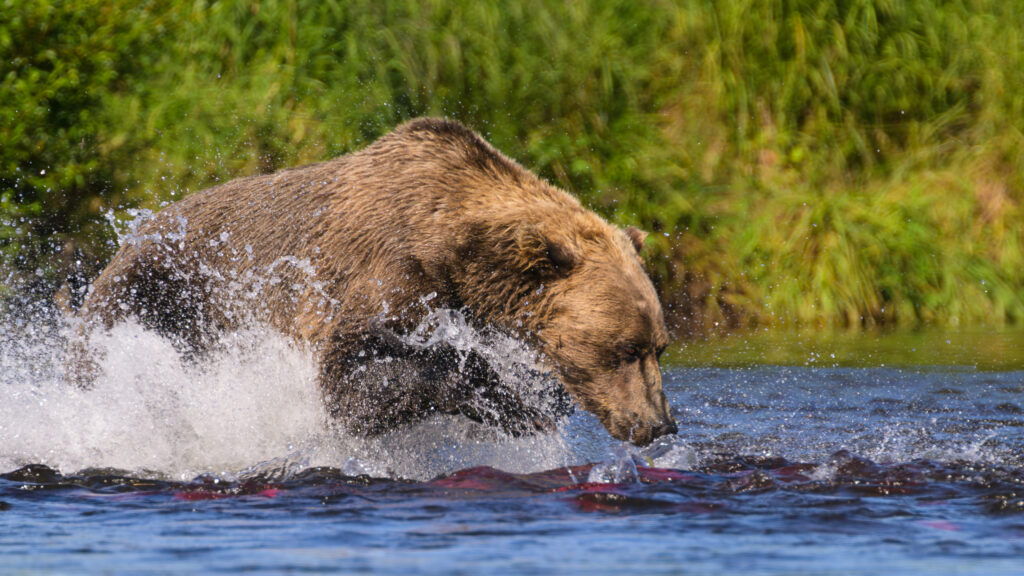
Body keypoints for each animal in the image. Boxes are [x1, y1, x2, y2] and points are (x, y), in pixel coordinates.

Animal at [76, 118, 677, 446]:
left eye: (660, 347)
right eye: (624, 348)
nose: (658, 424)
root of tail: (129, 237)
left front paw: (536, 393)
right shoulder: (388, 271)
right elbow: (352, 378)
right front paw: (507, 398)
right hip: (156, 293)